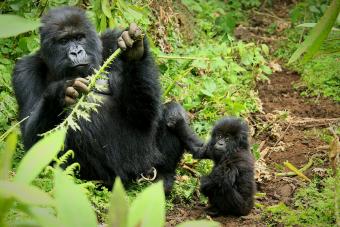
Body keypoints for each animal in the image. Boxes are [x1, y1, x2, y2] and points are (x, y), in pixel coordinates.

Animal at [12, 7, 202, 192]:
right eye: (64, 41)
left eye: (79, 38)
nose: (76, 52)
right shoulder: (24, 71)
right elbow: (32, 143)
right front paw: (61, 92)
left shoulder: (111, 40)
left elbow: (142, 116)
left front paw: (134, 52)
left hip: (147, 166)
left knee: (172, 112)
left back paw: (164, 177)